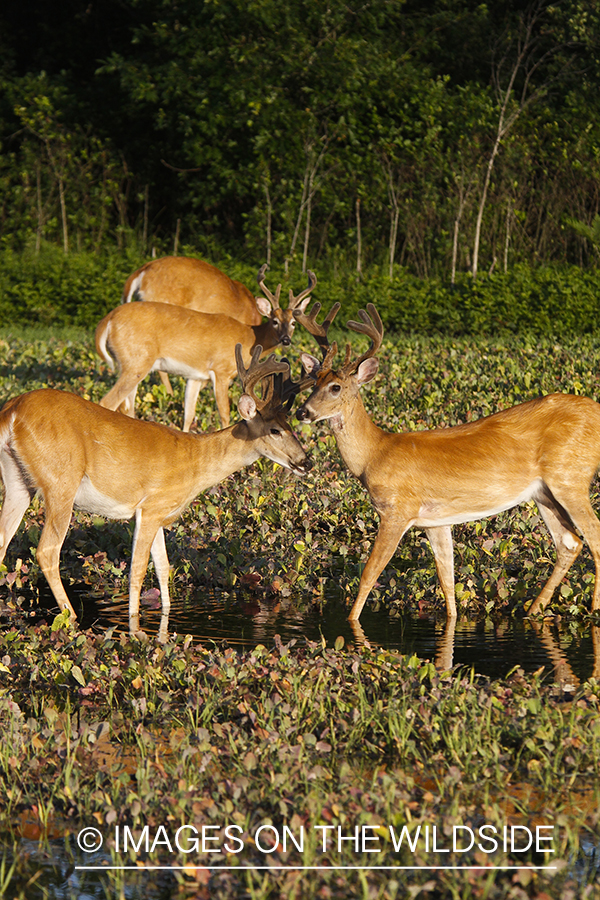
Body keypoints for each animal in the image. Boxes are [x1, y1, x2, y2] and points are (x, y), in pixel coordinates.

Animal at [0, 347, 311, 637]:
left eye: (291, 426)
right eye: (275, 430)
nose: (306, 461)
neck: (195, 461)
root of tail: (12, 411)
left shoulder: (161, 514)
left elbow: (163, 569)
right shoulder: (150, 507)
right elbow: (138, 570)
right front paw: (135, 627)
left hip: (18, 481)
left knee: (3, 541)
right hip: (61, 480)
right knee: (47, 551)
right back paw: (72, 617)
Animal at [96, 268, 317, 430]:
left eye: (294, 322)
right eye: (274, 321)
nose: (286, 339)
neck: (249, 337)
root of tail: (108, 320)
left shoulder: (195, 376)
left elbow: (189, 413)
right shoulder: (221, 371)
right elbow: (225, 414)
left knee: (127, 406)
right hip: (136, 362)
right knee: (108, 402)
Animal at [294, 302, 600, 622]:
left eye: (336, 387)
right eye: (313, 382)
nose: (302, 412)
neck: (374, 454)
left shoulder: (396, 510)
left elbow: (369, 573)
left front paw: (351, 621)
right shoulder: (436, 521)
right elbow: (447, 580)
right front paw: (453, 619)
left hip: (570, 476)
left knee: (593, 534)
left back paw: (592, 608)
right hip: (544, 492)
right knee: (569, 542)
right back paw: (533, 610)